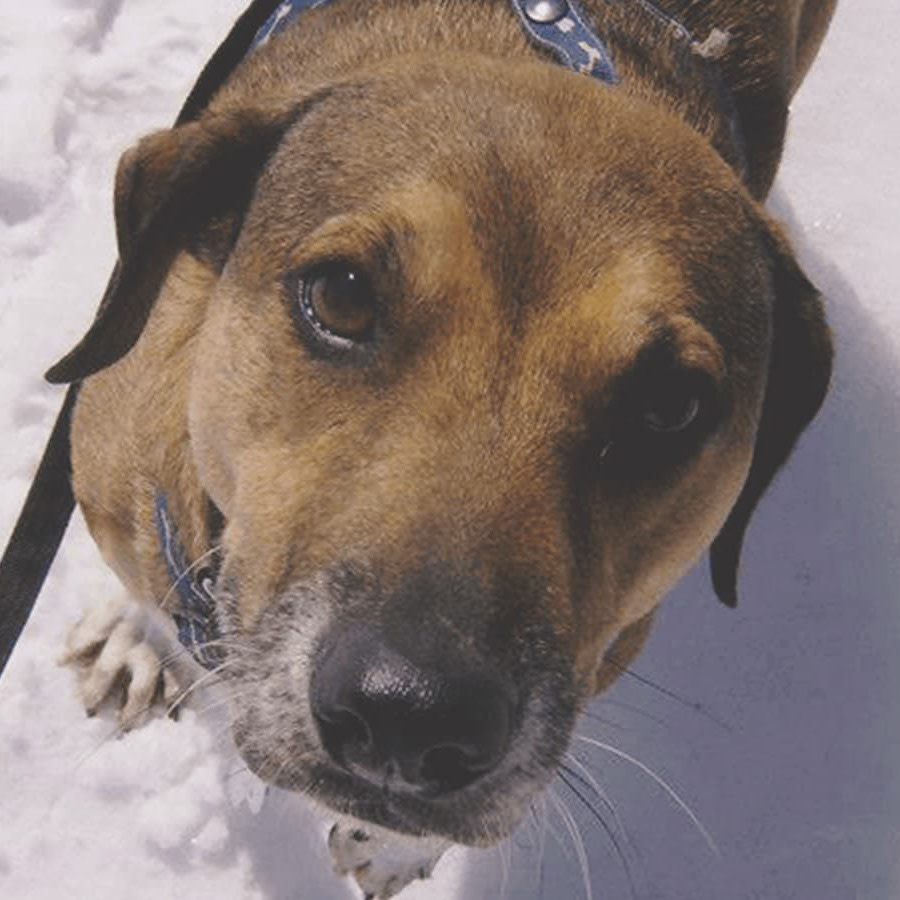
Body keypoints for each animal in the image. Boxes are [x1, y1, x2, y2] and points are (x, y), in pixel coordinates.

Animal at [52, 3, 832, 896]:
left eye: (671, 404)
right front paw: (136, 636)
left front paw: (392, 846)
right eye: (340, 296)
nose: (410, 715)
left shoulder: (615, 640)